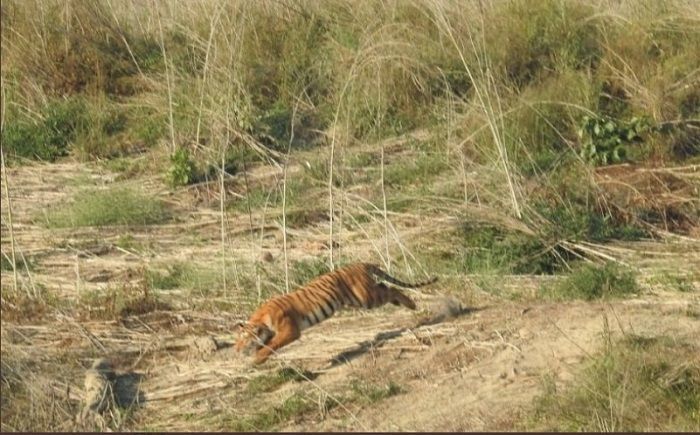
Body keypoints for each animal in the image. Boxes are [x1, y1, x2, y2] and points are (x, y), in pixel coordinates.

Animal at [235, 262, 438, 364]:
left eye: (242, 339)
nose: (236, 350)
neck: (261, 320)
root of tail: (361, 263)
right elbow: (268, 344)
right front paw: (257, 356)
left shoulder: (290, 330)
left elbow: (272, 345)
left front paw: (256, 359)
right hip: (363, 297)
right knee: (385, 286)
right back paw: (406, 303)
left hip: (366, 297)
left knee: (390, 289)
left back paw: (412, 304)